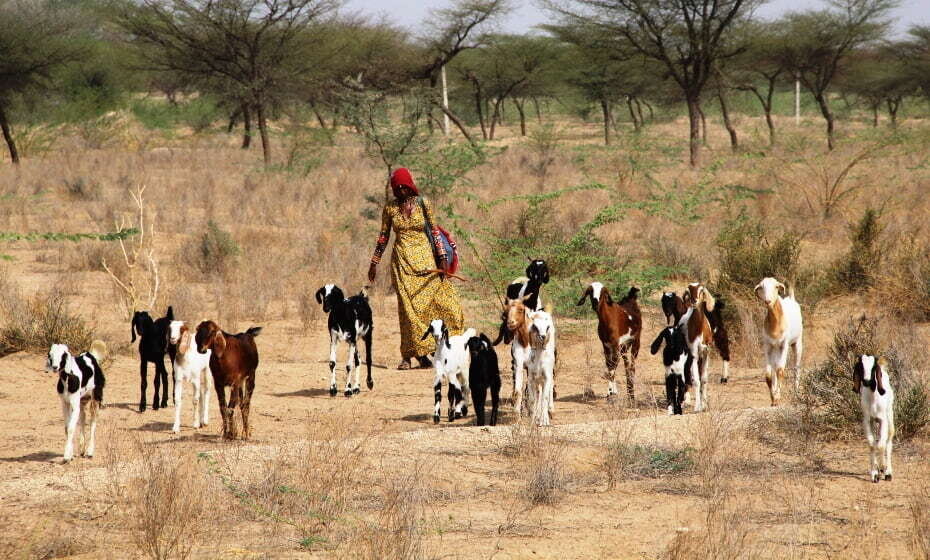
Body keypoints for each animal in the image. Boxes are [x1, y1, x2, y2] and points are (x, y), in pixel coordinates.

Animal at [752, 276, 800, 404]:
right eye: (762, 287)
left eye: (776, 286)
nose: (768, 301)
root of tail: (791, 298)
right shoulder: (768, 345)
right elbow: (769, 375)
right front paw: (773, 398)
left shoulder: (784, 345)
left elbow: (780, 370)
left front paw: (777, 397)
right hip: (775, 349)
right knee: (774, 368)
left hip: (797, 343)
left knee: (796, 366)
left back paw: (796, 392)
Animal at [852, 356, 896, 484]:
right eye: (861, 366)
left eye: (873, 367)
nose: (866, 381)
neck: (873, 400)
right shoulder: (867, 421)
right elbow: (872, 444)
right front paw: (875, 473)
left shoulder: (883, 420)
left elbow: (881, 445)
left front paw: (882, 468)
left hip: (889, 416)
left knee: (888, 441)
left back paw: (888, 472)